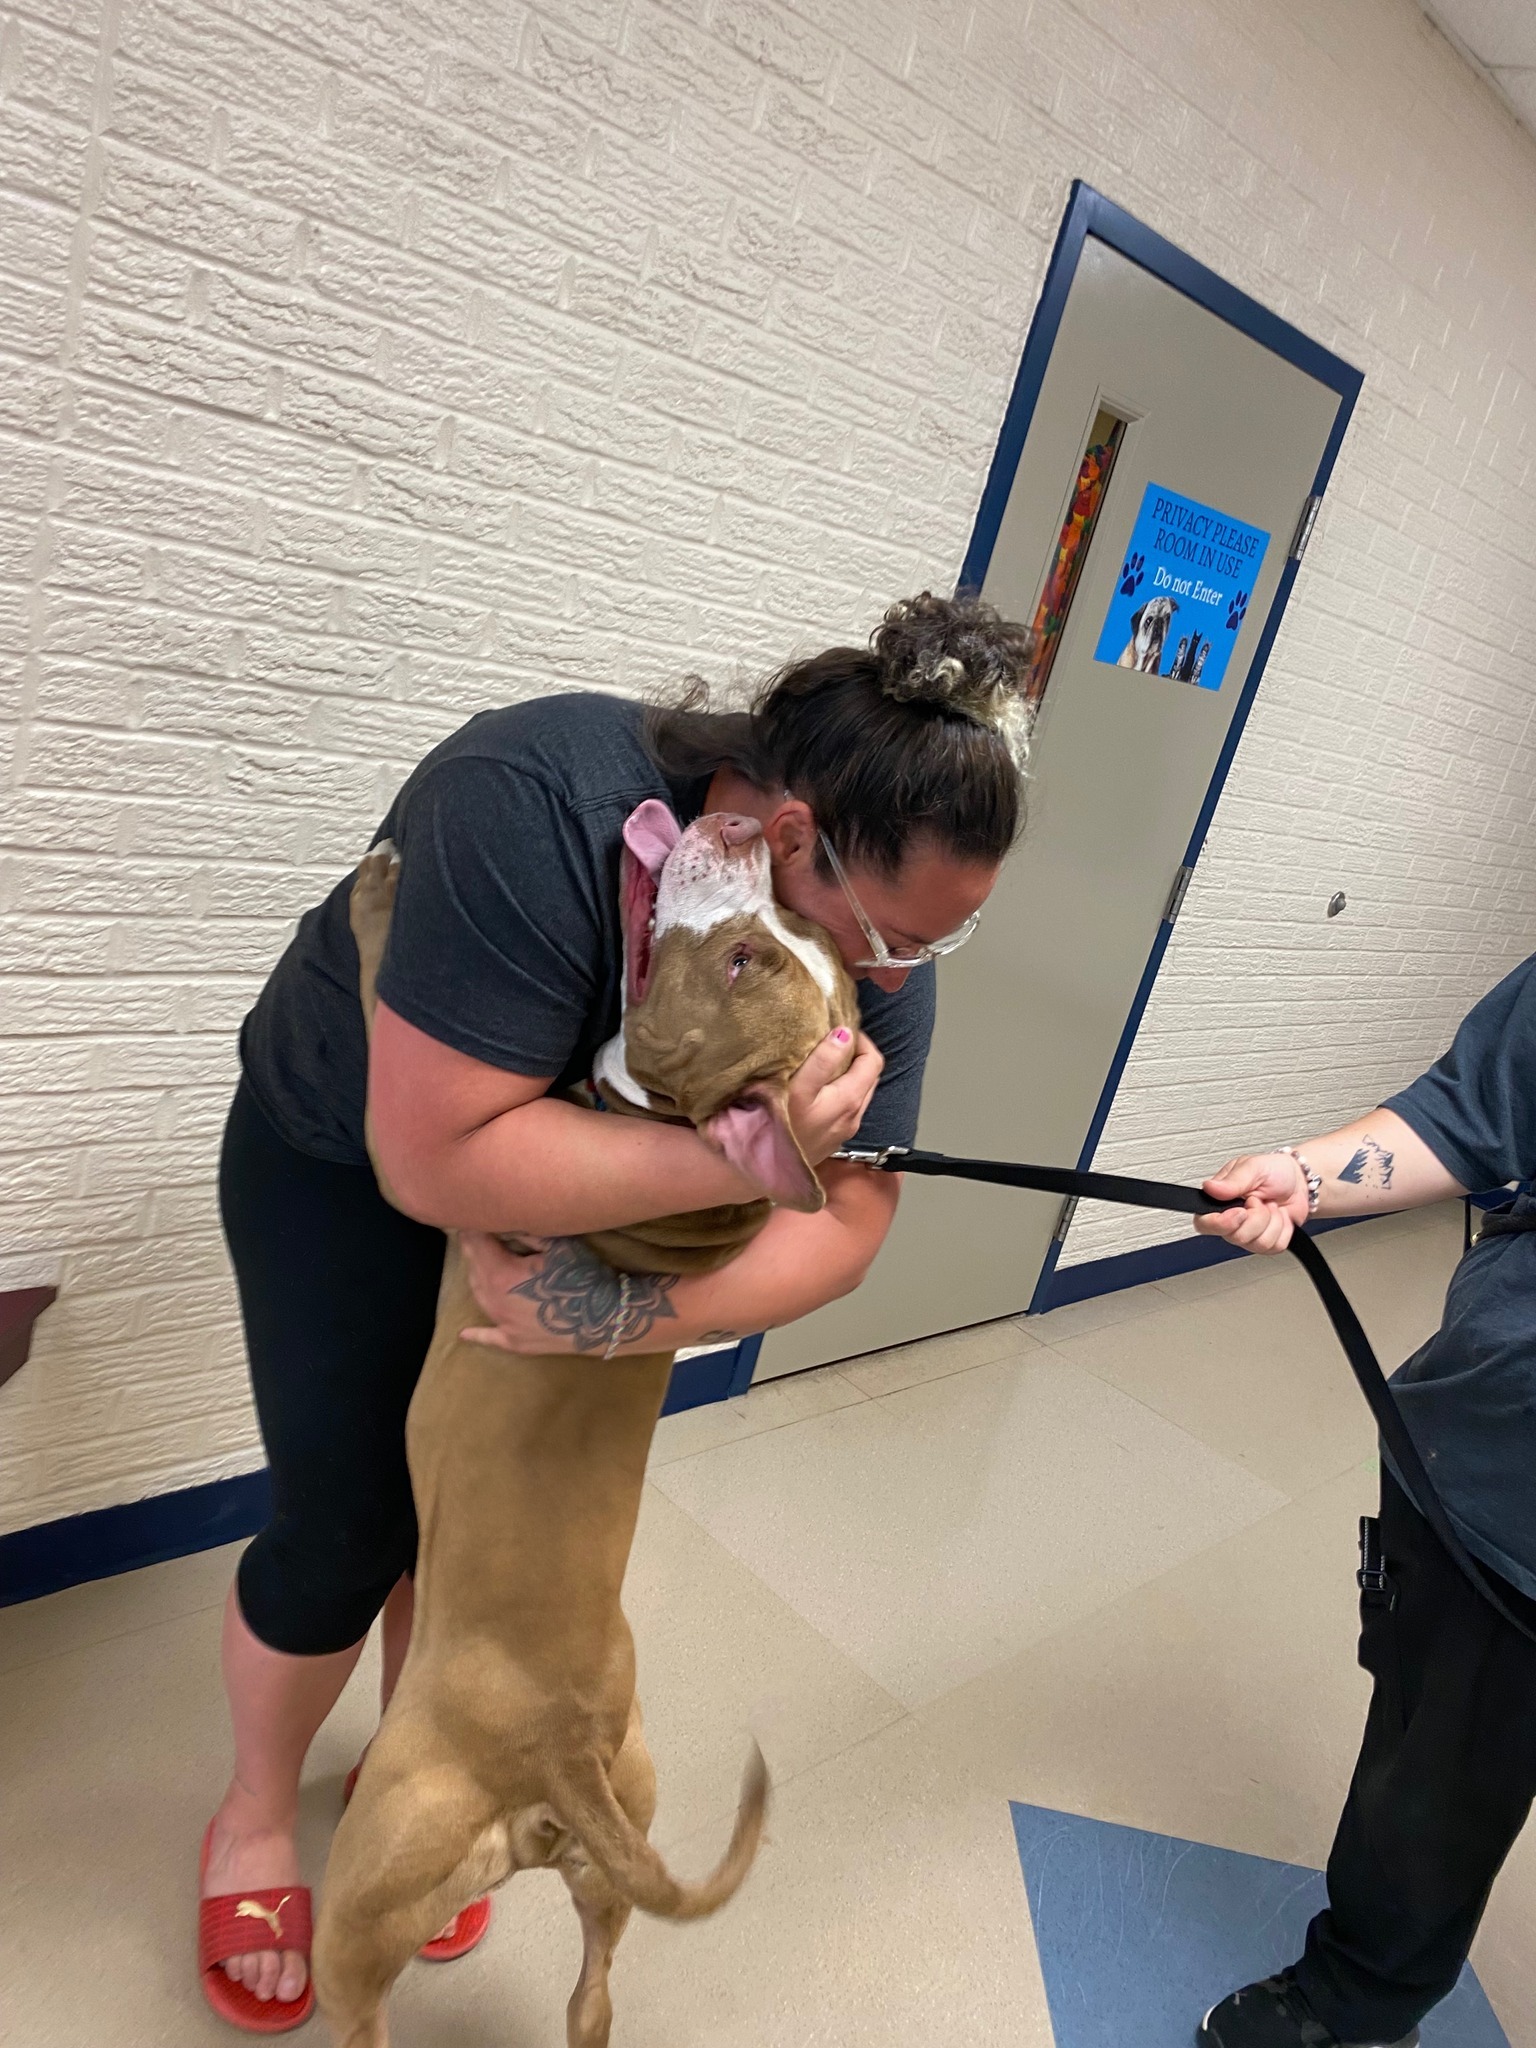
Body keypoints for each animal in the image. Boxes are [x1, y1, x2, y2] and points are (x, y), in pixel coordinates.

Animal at [313, 798, 868, 2048]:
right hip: (622, 1835)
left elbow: (373, 994)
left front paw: (379, 895)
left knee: (363, 2006)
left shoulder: (442, 1162)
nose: (743, 824)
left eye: (742, 958)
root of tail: (556, 1749)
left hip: (366, 1894)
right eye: (788, 934)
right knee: (593, 1994)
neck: (683, 1187)